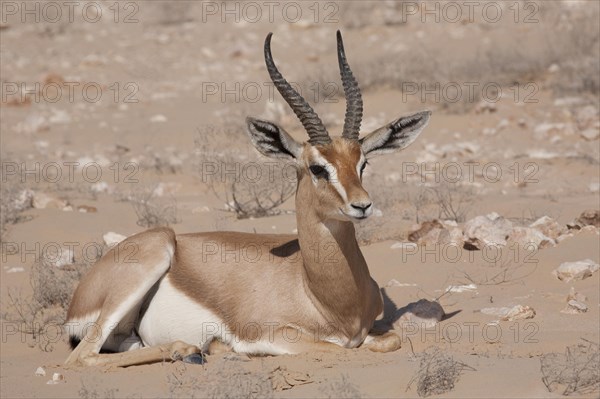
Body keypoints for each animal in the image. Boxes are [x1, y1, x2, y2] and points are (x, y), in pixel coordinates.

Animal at [64, 32, 432, 368]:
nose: (362, 205)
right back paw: (191, 349)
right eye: (317, 167)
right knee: (81, 358)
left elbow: (391, 339)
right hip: (153, 256)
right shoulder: (275, 335)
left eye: (362, 163)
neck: (320, 295)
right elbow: (340, 349)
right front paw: (221, 345)